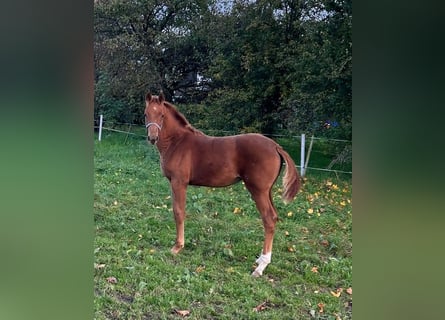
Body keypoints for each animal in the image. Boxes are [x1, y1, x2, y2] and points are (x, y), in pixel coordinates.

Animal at [144, 91, 300, 276]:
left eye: (161, 115)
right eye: (146, 114)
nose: (152, 138)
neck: (177, 142)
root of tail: (276, 146)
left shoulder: (179, 182)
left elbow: (179, 212)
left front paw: (177, 246)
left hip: (258, 190)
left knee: (268, 219)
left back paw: (260, 267)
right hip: (267, 191)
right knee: (274, 217)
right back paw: (261, 259)